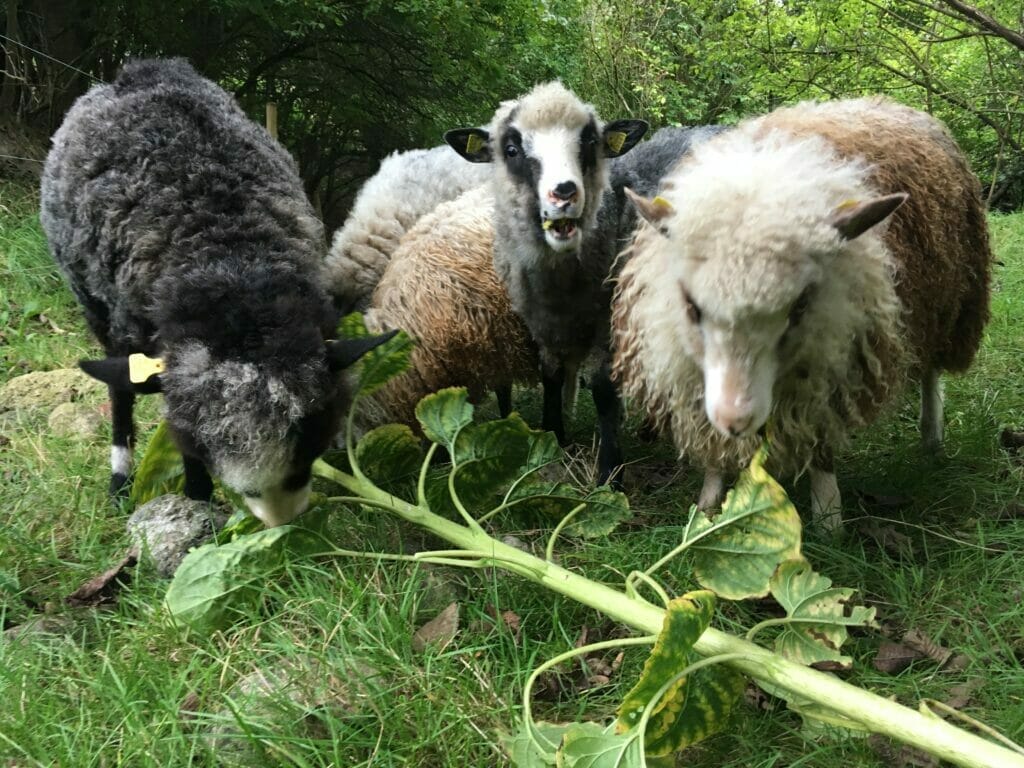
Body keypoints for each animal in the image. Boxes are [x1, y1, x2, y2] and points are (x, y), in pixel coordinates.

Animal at [40, 60, 391, 528]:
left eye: (307, 451)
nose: (282, 524)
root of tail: (144, 68)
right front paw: (197, 497)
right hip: (94, 302)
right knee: (120, 393)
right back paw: (121, 479)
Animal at [610, 96, 987, 528]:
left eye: (801, 304)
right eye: (691, 305)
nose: (736, 418)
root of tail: (880, 100)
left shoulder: (834, 361)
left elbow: (820, 442)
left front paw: (829, 517)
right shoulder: (688, 369)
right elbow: (711, 442)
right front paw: (707, 502)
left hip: (954, 301)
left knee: (931, 371)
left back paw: (932, 435)